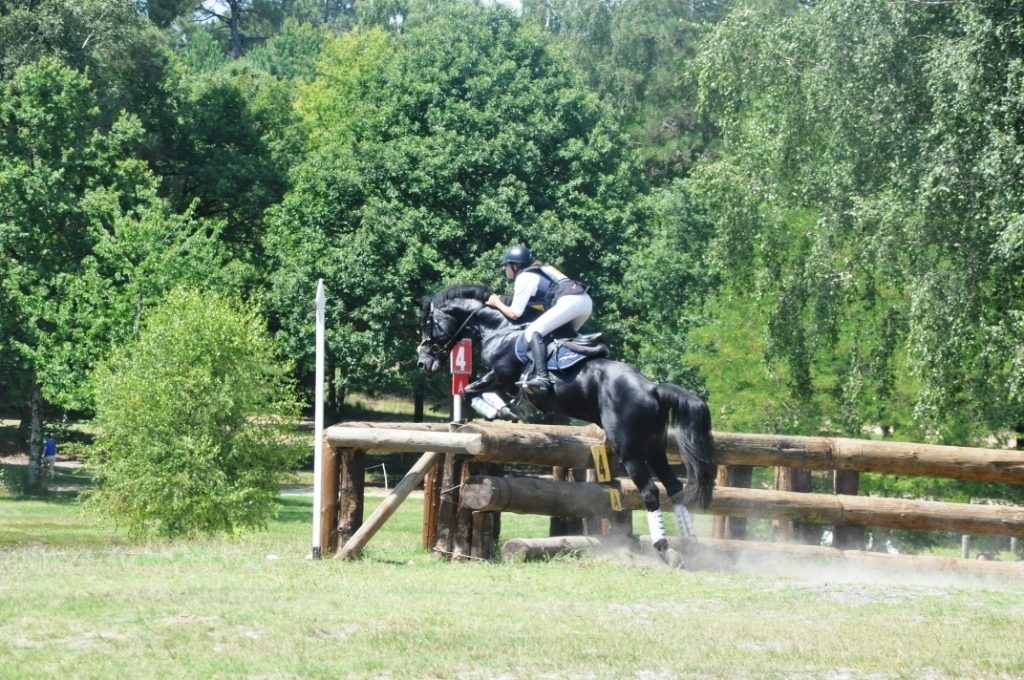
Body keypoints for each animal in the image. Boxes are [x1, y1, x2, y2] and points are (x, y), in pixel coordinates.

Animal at [413, 284, 712, 557]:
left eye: (428, 325)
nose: (422, 363)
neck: (500, 329)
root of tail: (651, 389)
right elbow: (473, 390)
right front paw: (504, 411)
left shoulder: (501, 375)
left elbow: (470, 389)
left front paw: (501, 411)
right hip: (654, 447)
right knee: (674, 487)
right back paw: (690, 543)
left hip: (630, 450)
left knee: (650, 491)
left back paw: (662, 546)